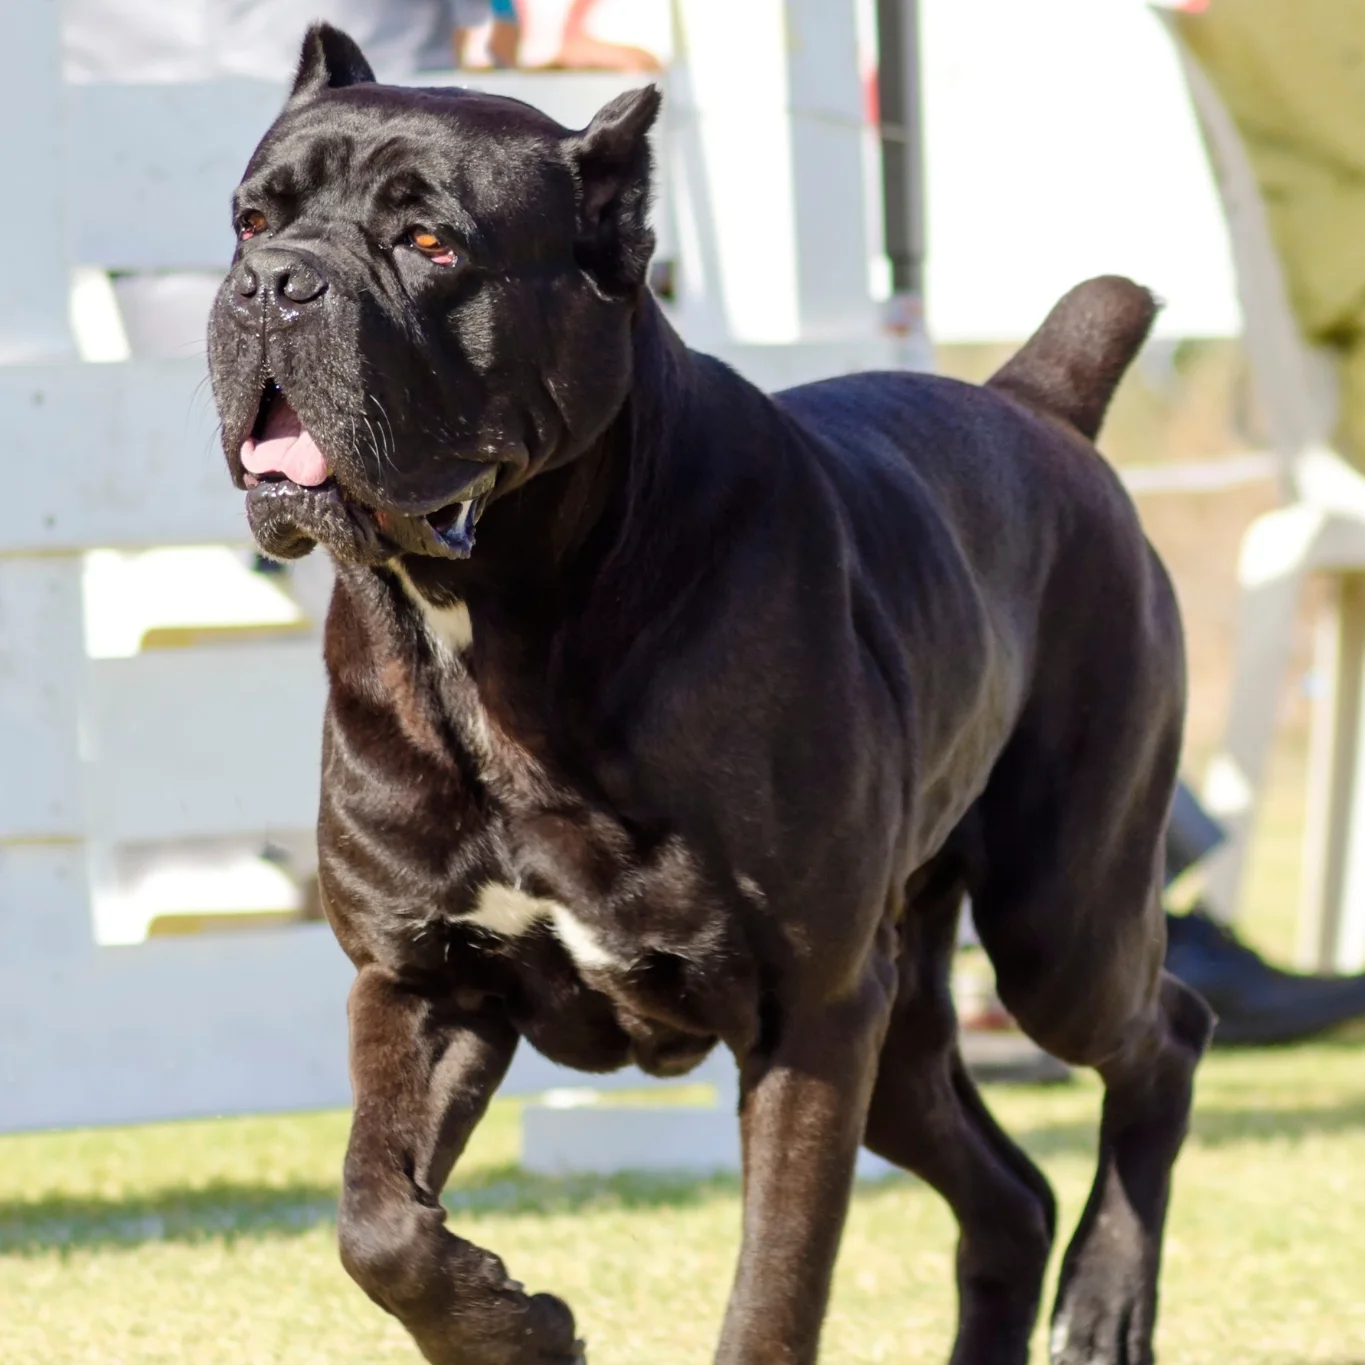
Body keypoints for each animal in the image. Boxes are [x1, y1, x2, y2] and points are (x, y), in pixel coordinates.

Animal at [207, 24, 1212, 1365]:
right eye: (251, 220)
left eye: (429, 244)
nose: (274, 284)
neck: (495, 627)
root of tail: (1036, 405)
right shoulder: (423, 978)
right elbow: (376, 1221)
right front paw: (518, 1325)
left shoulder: (812, 1016)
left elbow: (776, 1284)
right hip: (907, 1031)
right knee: (1010, 1194)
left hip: (1060, 922)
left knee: (1164, 1039)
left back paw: (1106, 1306)